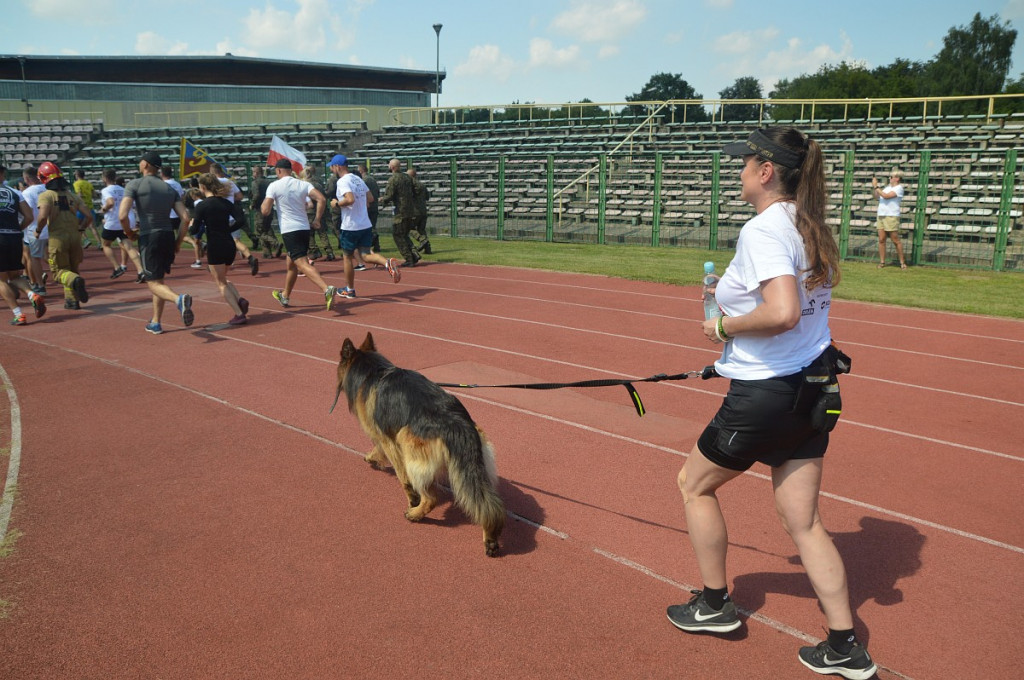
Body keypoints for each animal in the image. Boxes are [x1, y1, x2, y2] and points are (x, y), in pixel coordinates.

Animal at [333, 331, 505, 557]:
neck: (373, 371)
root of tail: (456, 422)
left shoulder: (386, 438)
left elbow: (401, 476)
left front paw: (409, 497)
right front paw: (372, 458)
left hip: (409, 447)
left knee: (431, 497)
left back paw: (416, 513)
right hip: (476, 466)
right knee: (486, 503)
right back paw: (490, 538)